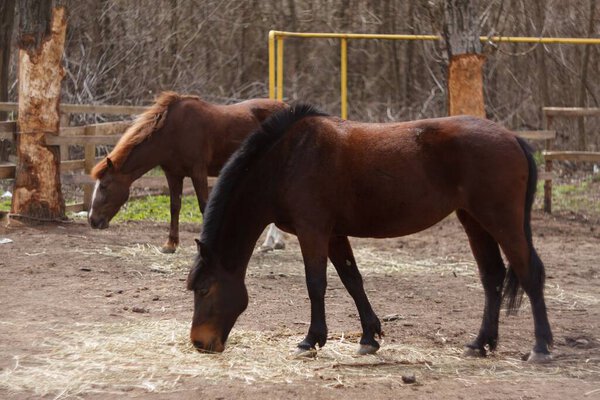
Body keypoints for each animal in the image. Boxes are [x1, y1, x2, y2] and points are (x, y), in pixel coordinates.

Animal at [86, 92, 288, 252]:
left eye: (104, 186)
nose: (92, 220)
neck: (173, 132)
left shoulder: (198, 172)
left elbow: (204, 206)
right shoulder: (173, 174)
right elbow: (175, 206)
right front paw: (170, 244)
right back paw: (271, 243)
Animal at [186, 104, 552, 360]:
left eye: (203, 289)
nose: (200, 342)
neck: (289, 158)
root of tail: (512, 138)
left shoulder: (312, 231)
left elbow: (316, 284)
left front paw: (310, 340)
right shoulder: (334, 235)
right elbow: (352, 280)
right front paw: (369, 337)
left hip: (502, 220)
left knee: (529, 273)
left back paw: (541, 347)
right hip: (474, 220)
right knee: (492, 277)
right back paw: (480, 344)